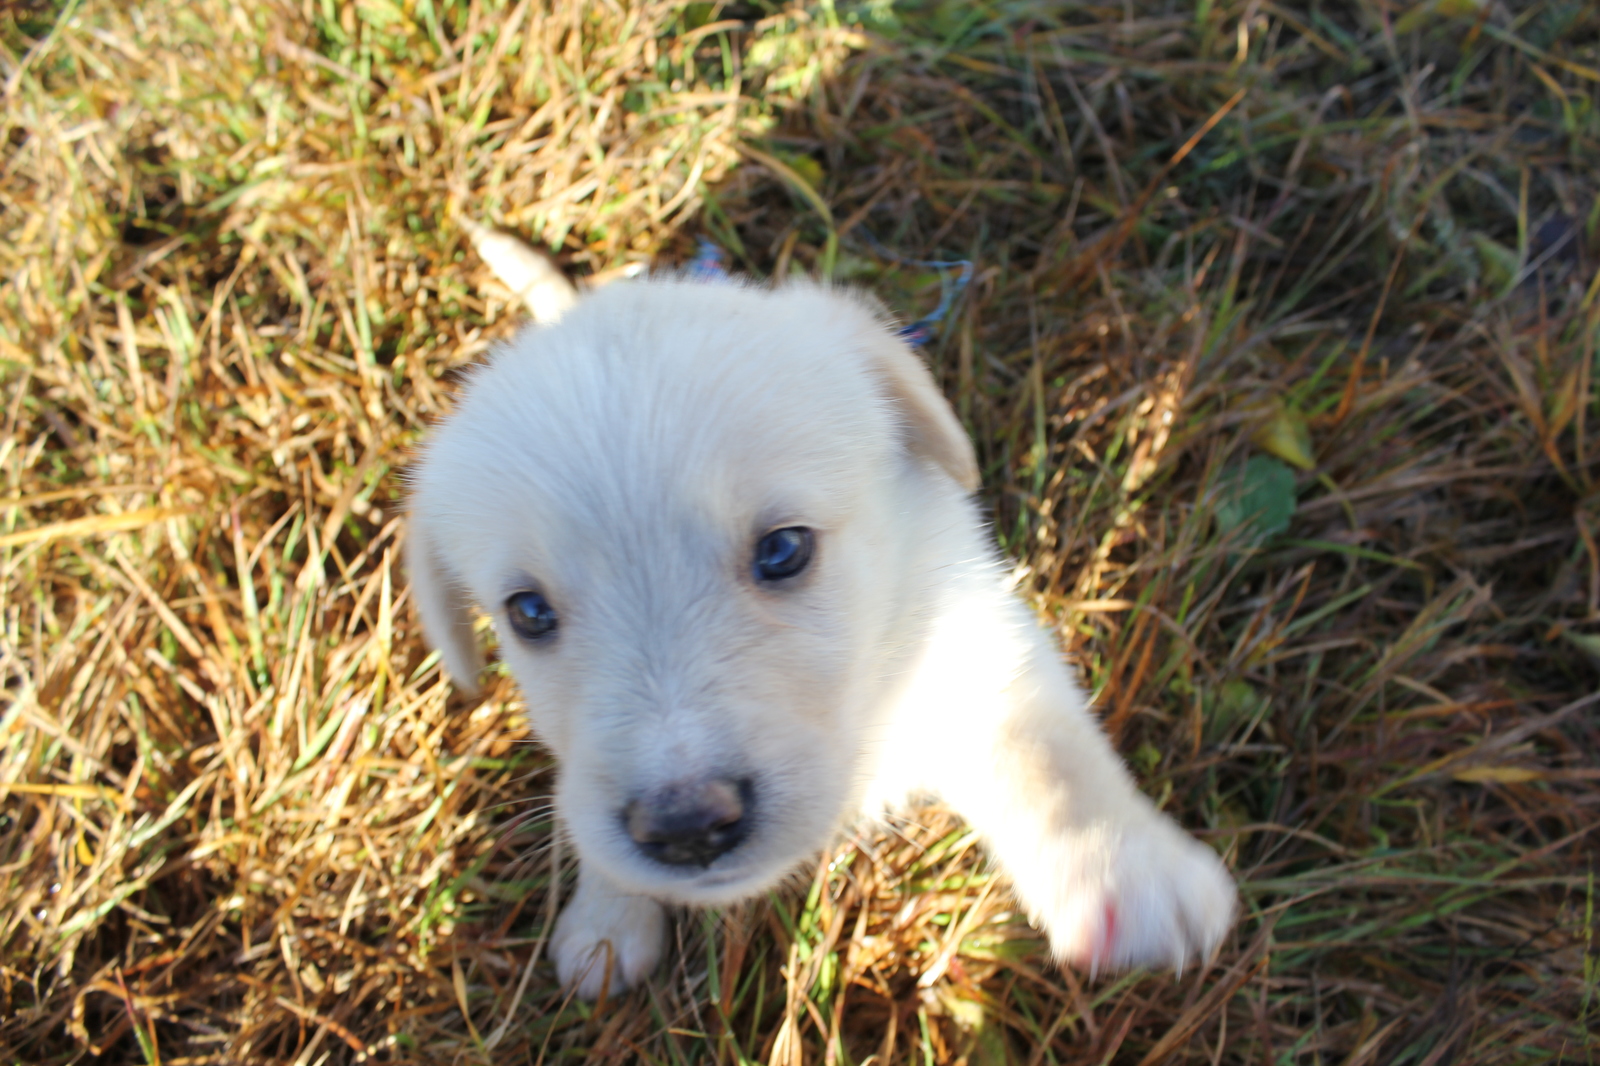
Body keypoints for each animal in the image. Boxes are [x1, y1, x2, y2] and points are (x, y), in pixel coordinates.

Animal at [406, 267, 1228, 998]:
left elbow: (1050, 761)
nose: (686, 828)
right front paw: (606, 924)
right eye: (528, 613)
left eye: (783, 550)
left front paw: (1130, 874)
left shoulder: (978, 645)